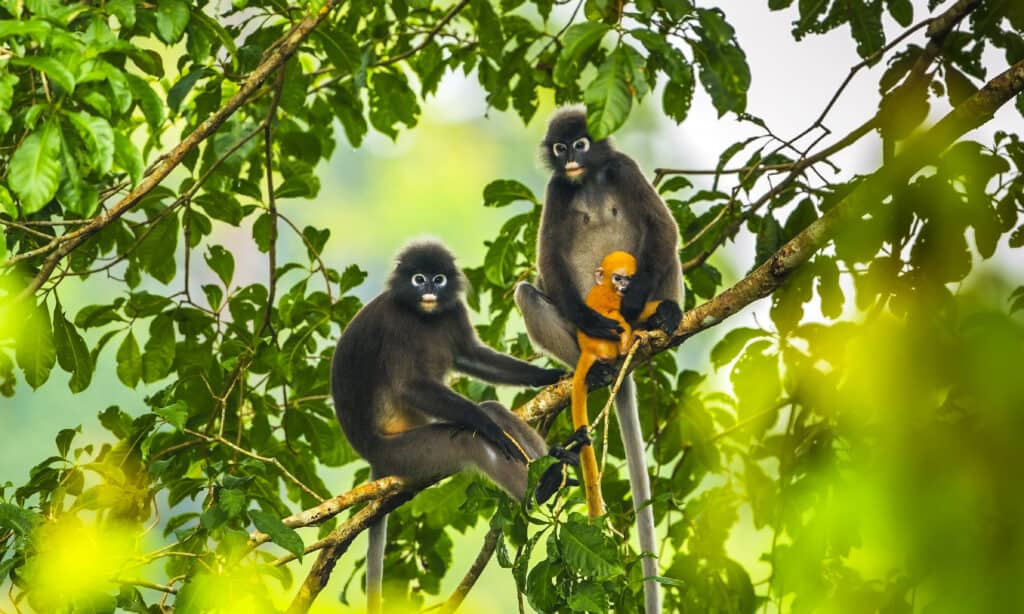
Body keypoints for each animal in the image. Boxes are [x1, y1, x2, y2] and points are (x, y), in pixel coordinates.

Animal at [333, 239, 565, 614]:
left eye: (438, 279)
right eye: (419, 278)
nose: (428, 289)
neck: (424, 316)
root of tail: (372, 456)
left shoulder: (452, 313)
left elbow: (471, 356)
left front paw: (548, 376)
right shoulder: (396, 326)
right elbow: (410, 387)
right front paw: (486, 426)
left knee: (494, 409)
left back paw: (558, 468)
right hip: (407, 453)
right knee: (471, 442)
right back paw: (538, 489)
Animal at [516, 108, 684, 614]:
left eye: (582, 144)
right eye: (560, 147)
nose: (569, 157)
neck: (586, 181)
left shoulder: (624, 169)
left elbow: (663, 229)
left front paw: (632, 306)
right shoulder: (557, 190)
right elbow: (548, 263)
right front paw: (597, 316)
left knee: (666, 250)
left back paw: (662, 317)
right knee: (527, 291)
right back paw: (599, 368)